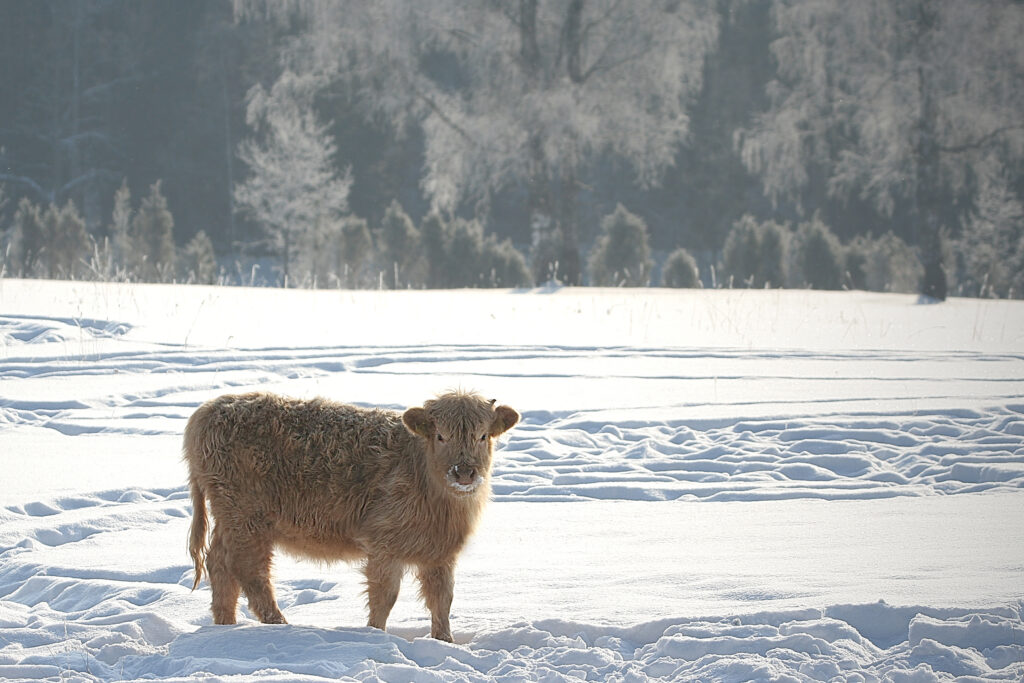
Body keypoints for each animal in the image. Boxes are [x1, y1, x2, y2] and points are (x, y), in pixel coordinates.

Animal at [184, 389, 516, 643]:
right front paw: (375, 635)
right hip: (246, 516)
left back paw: (225, 626)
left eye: (482, 436)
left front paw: (445, 642)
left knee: (220, 564)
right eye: (441, 436)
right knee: (250, 571)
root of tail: (210, 409)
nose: (464, 472)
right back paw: (280, 625)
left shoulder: (441, 553)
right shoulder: (384, 545)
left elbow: (442, 600)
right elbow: (385, 597)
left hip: (231, 517)